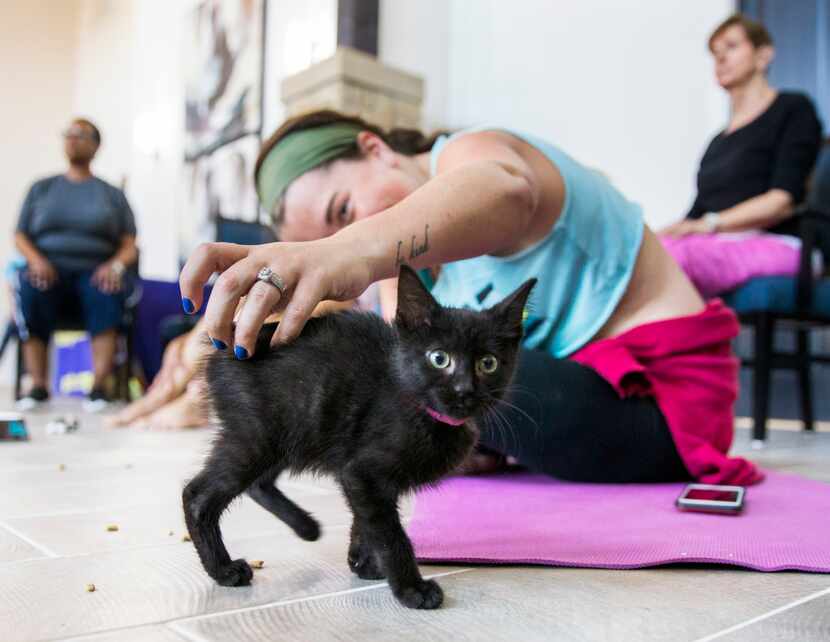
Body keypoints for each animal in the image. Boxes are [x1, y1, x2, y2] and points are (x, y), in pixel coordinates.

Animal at [184, 262, 536, 608]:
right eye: (439, 358)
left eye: (488, 363)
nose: (465, 390)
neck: (422, 409)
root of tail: (231, 343)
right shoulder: (364, 472)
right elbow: (389, 533)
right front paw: (411, 589)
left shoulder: (358, 475)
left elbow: (365, 519)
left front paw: (363, 563)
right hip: (259, 434)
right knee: (197, 494)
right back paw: (223, 569)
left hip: (292, 431)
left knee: (258, 484)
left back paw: (306, 527)